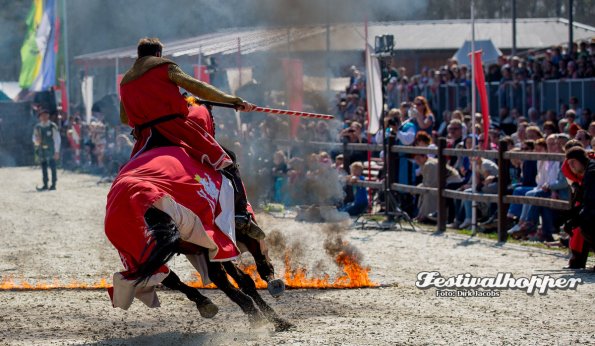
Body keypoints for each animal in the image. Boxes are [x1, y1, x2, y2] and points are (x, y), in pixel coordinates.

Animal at [105, 142, 296, 332]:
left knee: (173, 278)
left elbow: (240, 277)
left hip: (143, 255)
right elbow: (254, 264)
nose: (243, 206)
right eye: (235, 168)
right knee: (218, 276)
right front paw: (273, 302)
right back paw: (257, 313)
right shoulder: (224, 236)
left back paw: (209, 304)